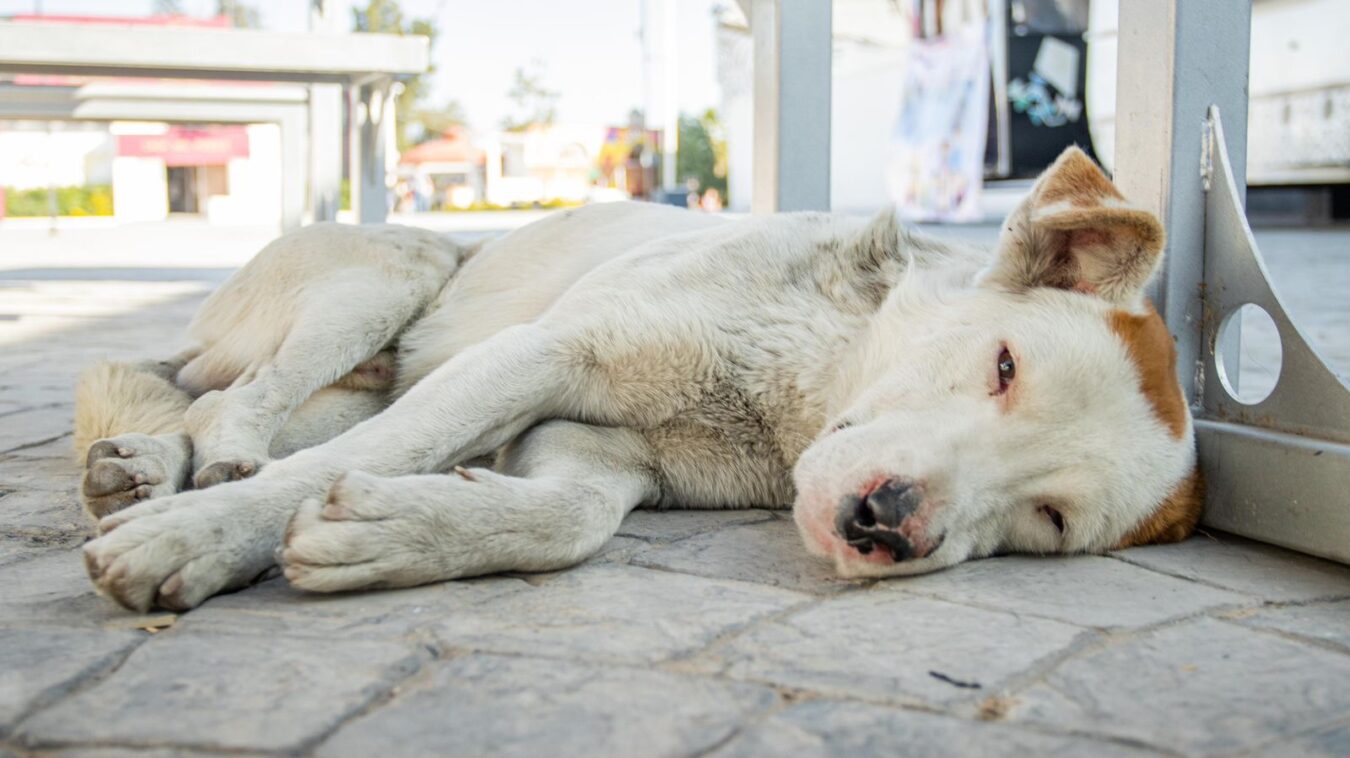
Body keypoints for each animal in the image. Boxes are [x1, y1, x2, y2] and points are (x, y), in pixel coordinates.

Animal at [73, 146, 1198, 608]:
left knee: (256, 410)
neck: (805, 376)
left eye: (1047, 520)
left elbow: (568, 517)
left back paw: (143, 463)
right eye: (1003, 366)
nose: (887, 523)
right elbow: (366, 461)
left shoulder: (593, 446)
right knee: (242, 400)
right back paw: (198, 473)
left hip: (370, 366)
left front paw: (393, 530)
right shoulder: (540, 355)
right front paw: (197, 541)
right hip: (391, 276)